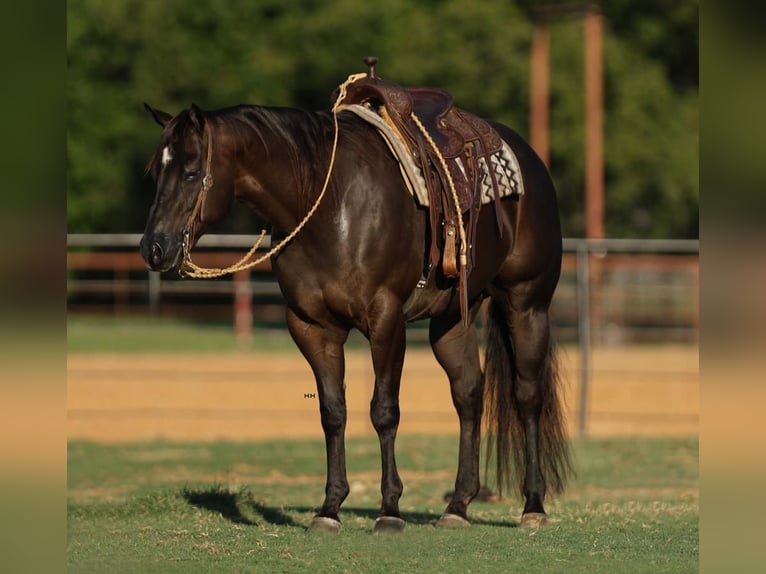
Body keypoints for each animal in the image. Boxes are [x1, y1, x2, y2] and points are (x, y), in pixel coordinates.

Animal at [141, 95, 572, 536]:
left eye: (192, 172)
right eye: (156, 171)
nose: (153, 248)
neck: (329, 205)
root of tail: (529, 159)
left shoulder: (386, 320)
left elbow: (384, 410)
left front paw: (390, 510)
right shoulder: (312, 327)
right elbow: (333, 412)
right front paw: (329, 509)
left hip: (526, 304)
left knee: (527, 396)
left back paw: (533, 505)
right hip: (451, 321)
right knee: (468, 394)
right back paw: (457, 506)